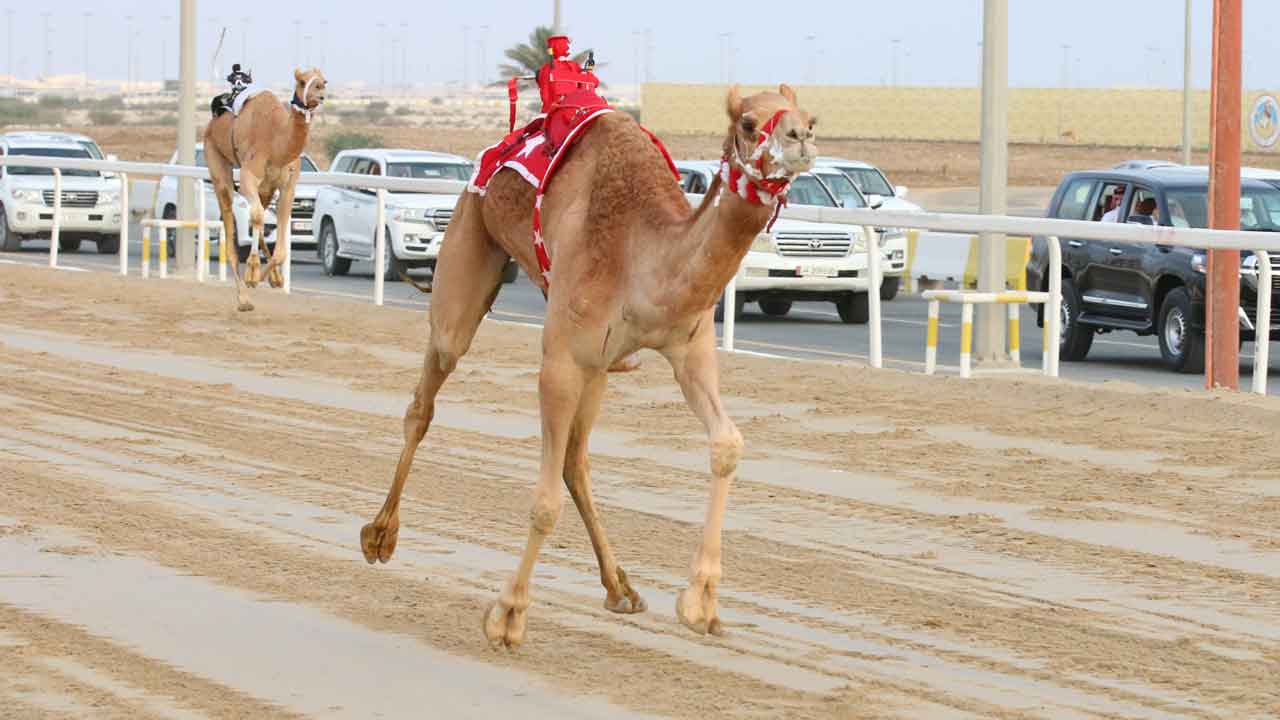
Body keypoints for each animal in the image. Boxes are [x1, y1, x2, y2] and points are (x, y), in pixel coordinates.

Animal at [203, 68, 326, 311]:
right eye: (302, 81)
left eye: (324, 81)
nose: (320, 92)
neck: (277, 143)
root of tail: (212, 124)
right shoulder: (248, 177)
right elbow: (258, 217)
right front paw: (252, 273)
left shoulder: (288, 185)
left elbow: (280, 248)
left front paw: (266, 277)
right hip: (216, 161)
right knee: (231, 226)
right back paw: (242, 298)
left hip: (267, 189)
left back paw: (273, 278)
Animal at [360, 84, 816, 647]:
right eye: (749, 123)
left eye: (812, 118)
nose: (800, 139)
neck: (643, 255)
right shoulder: (560, 360)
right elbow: (544, 501)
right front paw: (508, 615)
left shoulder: (688, 348)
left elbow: (727, 443)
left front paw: (701, 603)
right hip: (468, 249)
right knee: (427, 394)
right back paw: (379, 535)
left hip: (600, 368)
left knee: (576, 460)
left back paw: (620, 587)